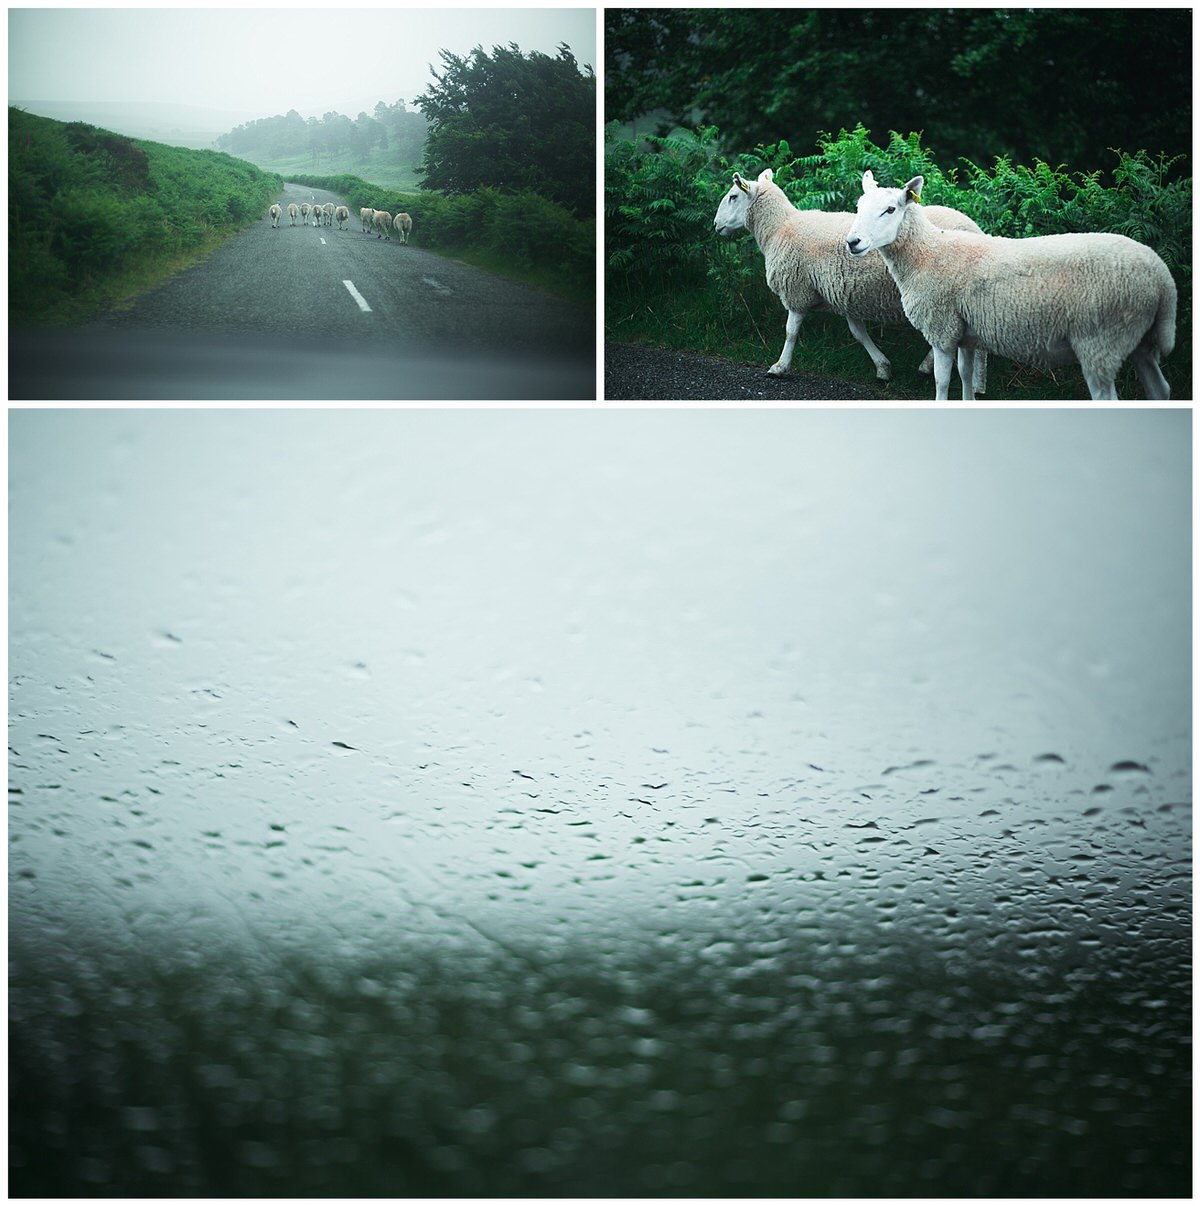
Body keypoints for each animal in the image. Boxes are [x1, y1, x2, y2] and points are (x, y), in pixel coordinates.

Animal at [713, 164, 984, 390]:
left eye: (733, 196)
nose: (716, 225)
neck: (778, 227)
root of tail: (976, 229)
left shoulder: (797, 290)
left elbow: (790, 332)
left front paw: (779, 367)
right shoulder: (845, 294)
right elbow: (858, 333)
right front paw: (883, 368)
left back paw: (944, 373)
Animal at [849, 171, 1177, 400]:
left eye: (890, 210)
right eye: (858, 206)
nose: (852, 242)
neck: (927, 254)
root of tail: (1164, 282)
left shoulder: (942, 331)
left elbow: (942, 382)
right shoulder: (965, 333)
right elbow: (965, 375)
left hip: (1100, 341)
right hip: (1138, 340)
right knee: (1160, 389)